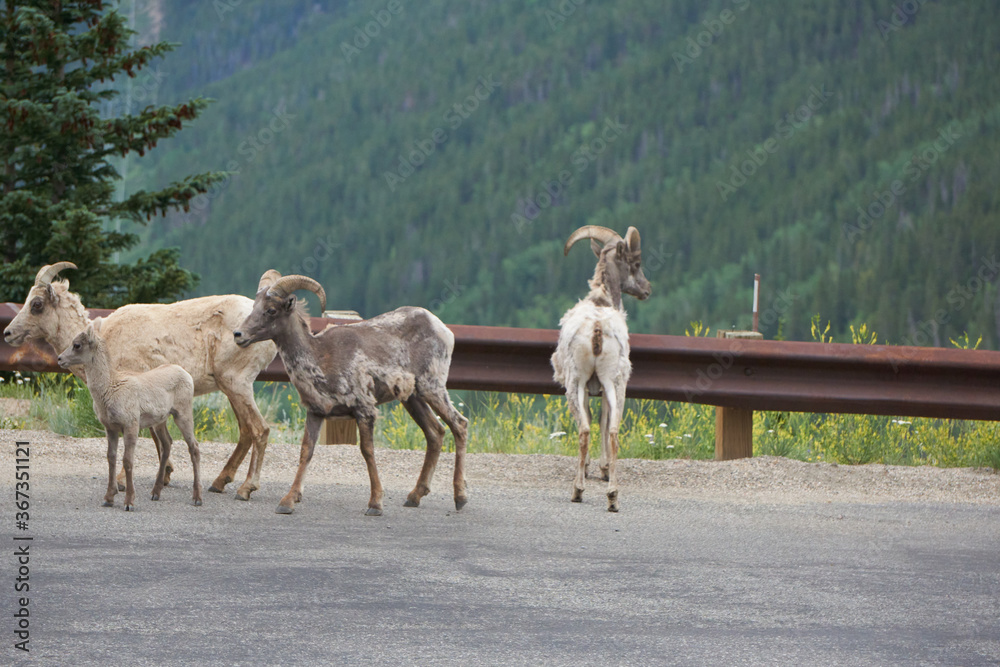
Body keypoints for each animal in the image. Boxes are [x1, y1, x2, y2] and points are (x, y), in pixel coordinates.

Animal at [57, 324, 203, 511]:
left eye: (77, 345)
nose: (59, 359)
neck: (110, 388)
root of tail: (185, 373)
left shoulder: (131, 426)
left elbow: (127, 461)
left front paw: (129, 502)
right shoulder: (110, 428)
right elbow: (111, 458)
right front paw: (108, 498)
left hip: (182, 414)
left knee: (194, 447)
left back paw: (197, 498)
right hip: (160, 422)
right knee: (166, 445)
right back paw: (155, 493)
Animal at [233, 271, 469, 516]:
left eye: (271, 310)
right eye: (254, 306)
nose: (238, 335)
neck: (319, 359)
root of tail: (442, 329)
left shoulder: (364, 409)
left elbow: (367, 451)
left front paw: (375, 504)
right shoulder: (316, 412)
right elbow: (306, 451)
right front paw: (287, 502)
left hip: (432, 388)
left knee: (459, 425)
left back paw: (460, 498)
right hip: (413, 399)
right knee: (435, 432)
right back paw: (414, 497)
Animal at [551, 225, 651, 512]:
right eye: (636, 263)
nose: (647, 289)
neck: (601, 300)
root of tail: (596, 328)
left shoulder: (589, 388)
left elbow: (596, 420)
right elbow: (604, 423)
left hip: (579, 383)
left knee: (586, 430)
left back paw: (578, 490)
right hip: (613, 383)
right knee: (613, 431)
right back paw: (613, 496)